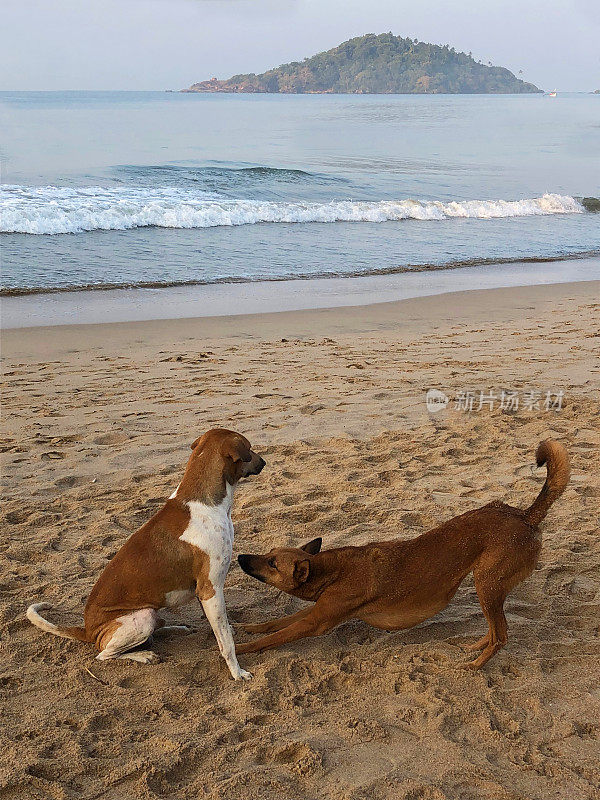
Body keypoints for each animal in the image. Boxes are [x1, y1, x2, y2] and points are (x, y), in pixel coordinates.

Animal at [25, 428, 264, 680]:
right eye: (249, 448)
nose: (264, 462)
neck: (206, 504)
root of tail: (88, 631)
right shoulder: (211, 589)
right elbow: (226, 643)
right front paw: (237, 672)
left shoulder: (205, 592)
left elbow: (221, 628)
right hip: (142, 616)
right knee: (104, 654)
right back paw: (144, 655)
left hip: (150, 614)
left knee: (152, 631)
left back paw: (173, 628)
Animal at [237, 440, 568, 672]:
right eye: (268, 553)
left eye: (272, 563)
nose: (240, 557)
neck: (330, 570)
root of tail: (525, 515)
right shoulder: (317, 610)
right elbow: (276, 623)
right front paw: (250, 628)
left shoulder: (316, 622)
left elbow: (273, 638)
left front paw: (239, 650)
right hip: (489, 588)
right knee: (494, 629)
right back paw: (475, 647)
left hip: (486, 584)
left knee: (501, 635)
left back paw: (475, 666)